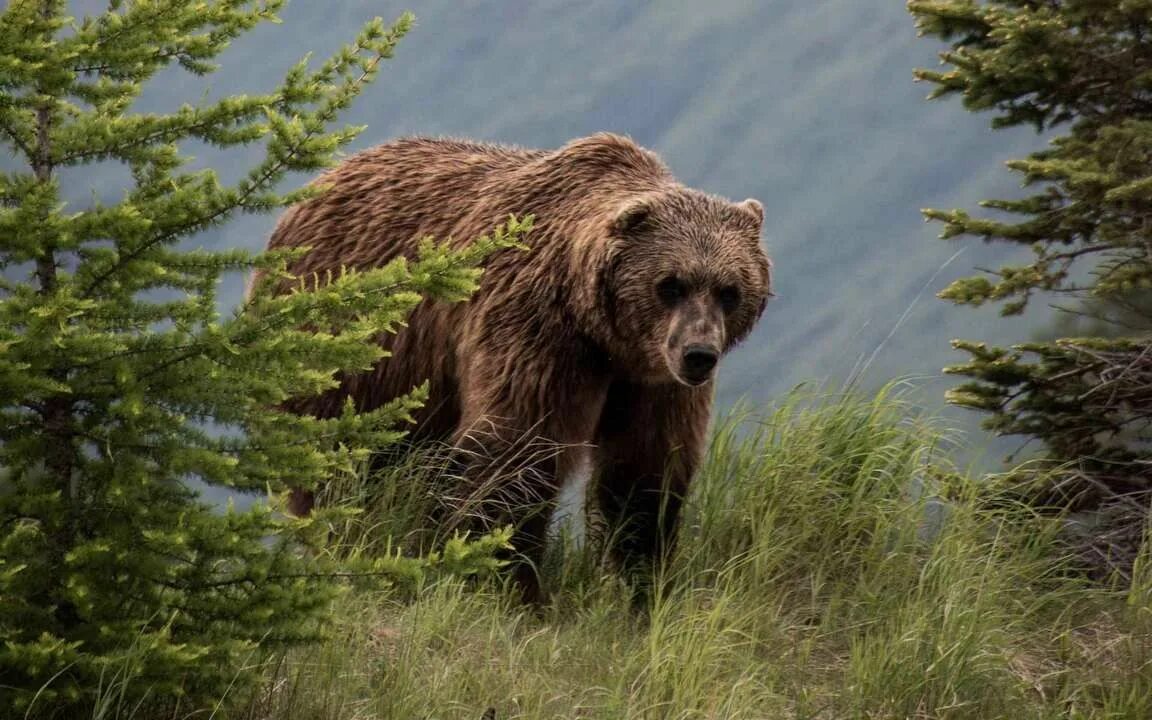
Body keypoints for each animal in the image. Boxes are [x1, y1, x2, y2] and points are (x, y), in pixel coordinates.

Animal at [256, 131, 769, 599]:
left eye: (729, 290)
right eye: (671, 284)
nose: (699, 354)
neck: (601, 333)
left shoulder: (652, 379)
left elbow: (644, 469)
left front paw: (635, 584)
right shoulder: (536, 331)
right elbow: (515, 452)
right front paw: (509, 584)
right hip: (349, 352)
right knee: (341, 463)